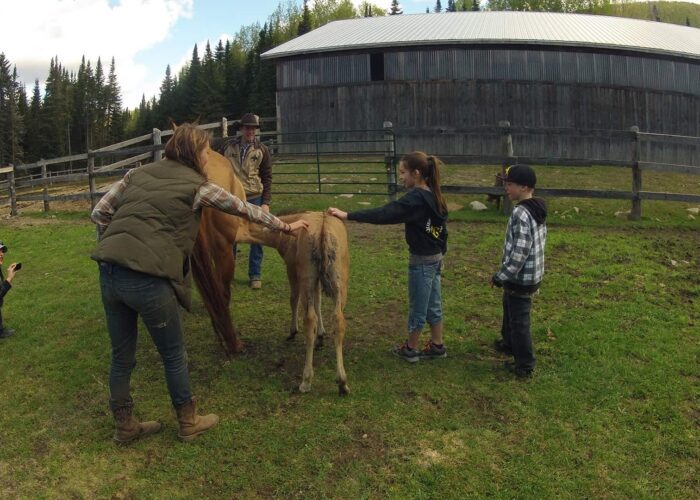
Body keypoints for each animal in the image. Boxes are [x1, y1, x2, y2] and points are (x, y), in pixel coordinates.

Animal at [192, 150, 350, 395]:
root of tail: (324, 232)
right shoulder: (312, 279)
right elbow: (317, 304)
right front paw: (321, 337)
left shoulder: (292, 270)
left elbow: (294, 300)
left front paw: (293, 331)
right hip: (335, 280)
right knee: (336, 320)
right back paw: (339, 381)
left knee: (312, 320)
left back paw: (307, 380)